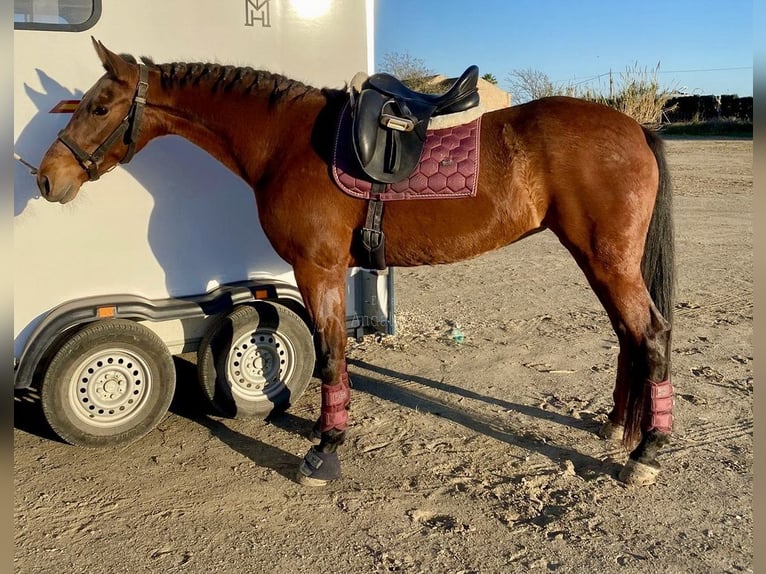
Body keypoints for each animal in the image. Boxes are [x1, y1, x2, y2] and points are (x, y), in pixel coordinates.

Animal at [36, 40, 676, 488]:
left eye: (99, 106)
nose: (47, 178)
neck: (285, 141)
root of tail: (634, 127)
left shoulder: (317, 268)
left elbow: (331, 354)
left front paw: (325, 448)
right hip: (600, 261)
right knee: (629, 336)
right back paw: (617, 425)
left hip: (606, 260)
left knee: (651, 334)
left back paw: (647, 452)